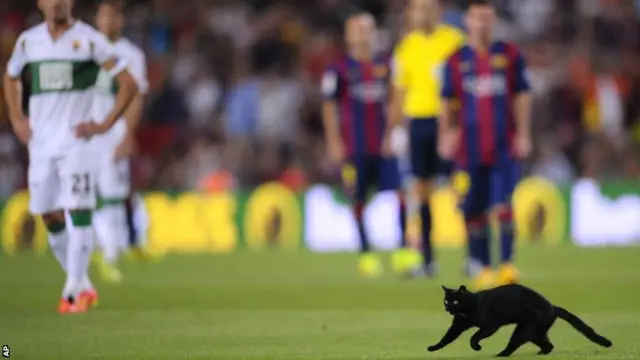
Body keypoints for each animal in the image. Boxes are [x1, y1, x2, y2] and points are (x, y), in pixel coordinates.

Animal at [428, 284, 612, 358]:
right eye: (446, 301)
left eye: (455, 301)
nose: (448, 308)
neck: (466, 310)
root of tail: (553, 306)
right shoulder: (457, 326)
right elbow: (446, 339)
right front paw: (432, 348)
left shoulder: (490, 326)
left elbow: (474, 336)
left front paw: (476, 347)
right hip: (534, 332)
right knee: (548, 344)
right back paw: (541, 353)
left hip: (524, 330)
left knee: (513, 345)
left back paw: (499, 355)